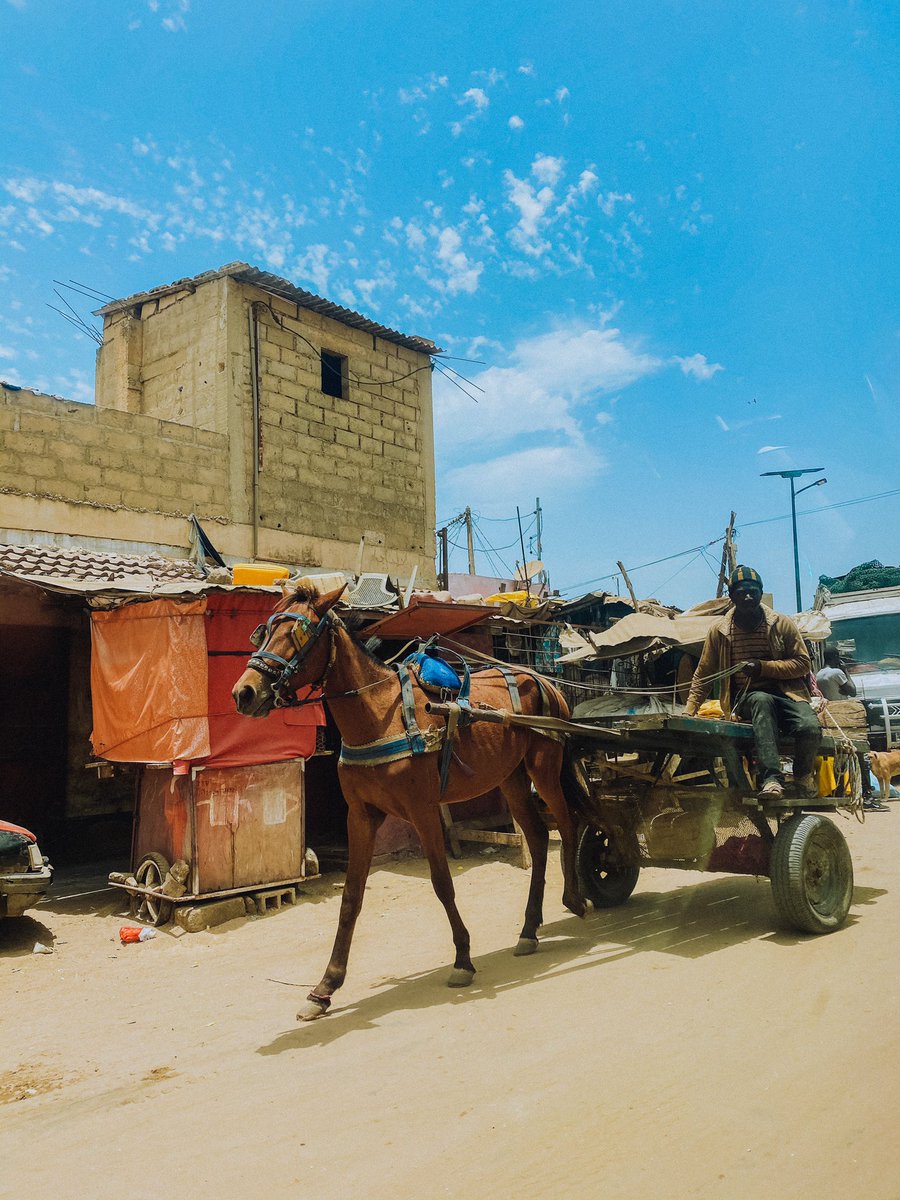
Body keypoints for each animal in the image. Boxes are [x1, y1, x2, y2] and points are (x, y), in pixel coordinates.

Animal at [232, 585, 585, 1017]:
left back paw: (575, 899)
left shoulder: (422, 810)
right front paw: (326, 986)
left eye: (298, 634)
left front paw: (463, 959)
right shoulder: (361, 816)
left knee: (567, 822)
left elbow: (442, 884)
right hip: (512, 778)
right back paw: (530, 929)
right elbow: (350, 898)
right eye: (263, 632)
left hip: (544, 767)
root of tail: (542, 680)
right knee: (536, 837)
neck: (379, 715)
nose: (244, 692)